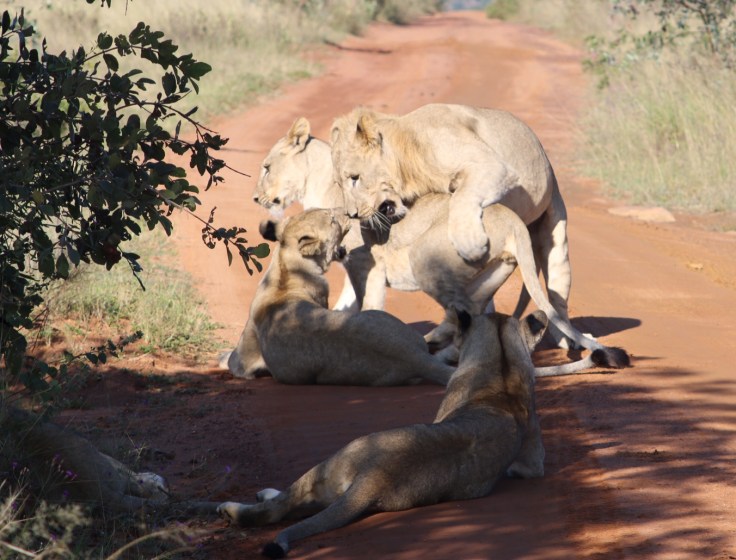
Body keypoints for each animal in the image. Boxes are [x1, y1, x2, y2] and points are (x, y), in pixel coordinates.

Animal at [218, 308, 550, 558]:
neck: (501, 370)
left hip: (335, 458)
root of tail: (376, 475)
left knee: (277, 509)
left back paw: (235, 507)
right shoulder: (532, 462)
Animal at [331, 103, 574, 345]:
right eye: (339, 184)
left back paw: (565, 339)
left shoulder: (490, 165)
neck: (407, 158)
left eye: (355, 178)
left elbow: (462, 196)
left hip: (554, 230)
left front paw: (470, 243)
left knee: (556, 293)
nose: (352, 214)